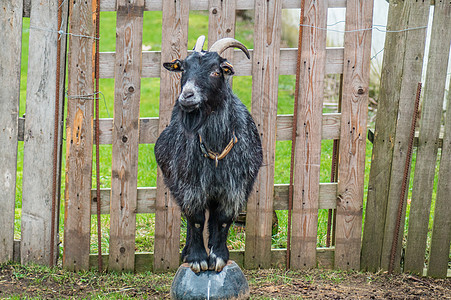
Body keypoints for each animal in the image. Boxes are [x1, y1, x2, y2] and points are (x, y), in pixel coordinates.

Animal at [155, 36, 264, 274]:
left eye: (216, 71)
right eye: (183, 68)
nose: (187, 96)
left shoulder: (234, 188)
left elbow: (223, 220)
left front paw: (219, 256)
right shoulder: (190, 187)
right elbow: (195, 219)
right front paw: (197, 258)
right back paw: (187, 251)